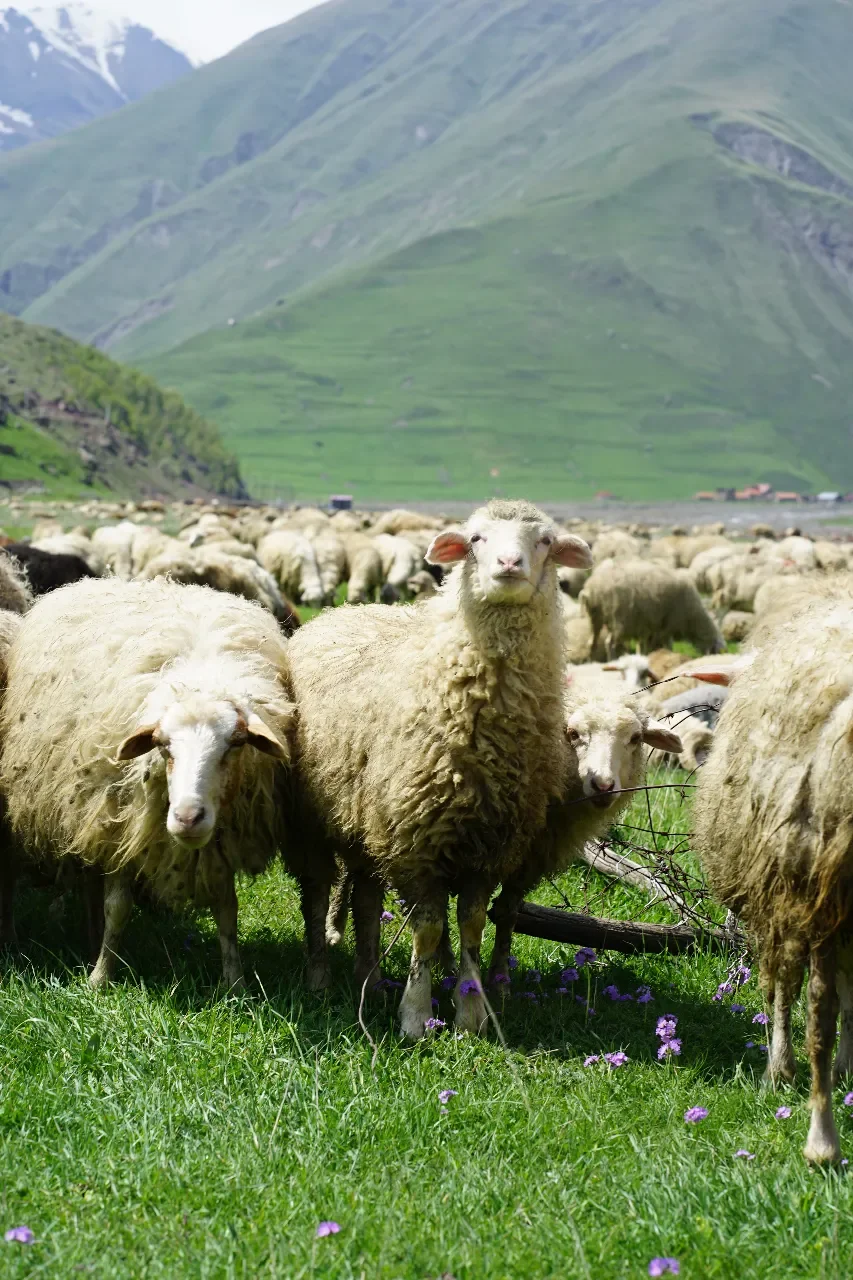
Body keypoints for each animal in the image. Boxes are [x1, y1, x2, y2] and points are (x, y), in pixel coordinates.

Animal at [0, 578, 311, 991]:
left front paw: (235, 983)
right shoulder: (119, 824)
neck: (197, 675)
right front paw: (100, 978)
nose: (188, 818)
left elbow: (227, 910)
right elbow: (117, 908)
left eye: (235, 743)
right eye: (163, 746)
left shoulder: (223, 839)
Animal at [284, 500, 592, 1037]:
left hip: (367, 820)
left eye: (545, 542)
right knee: (318, 892)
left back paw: (368, 978)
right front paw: (415, 1014)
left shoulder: (490, 848)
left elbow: (471, 927)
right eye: (476, 538)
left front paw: (471, 1013)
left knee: (366, 898)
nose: (509, 565)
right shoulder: (414, 842)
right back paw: (320, 974)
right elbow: (427, 930)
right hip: (316, 821)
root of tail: (343, 611)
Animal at [488, 691, 681, 979]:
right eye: (573, 733)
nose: (603, 786)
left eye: (635, 738)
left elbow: (505, 914)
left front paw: (497, 979)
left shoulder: (528, 861)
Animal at [579, 559, 723, 660]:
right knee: (610, 643)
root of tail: (592, 588)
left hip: (595, 618)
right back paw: (612, 660)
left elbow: (643, 645)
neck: (693, 618)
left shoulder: (648, 625)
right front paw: (666, 654)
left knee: (591, 642)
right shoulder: (668, 624)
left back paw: (591, 661)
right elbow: (666, 644)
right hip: (618, 620)